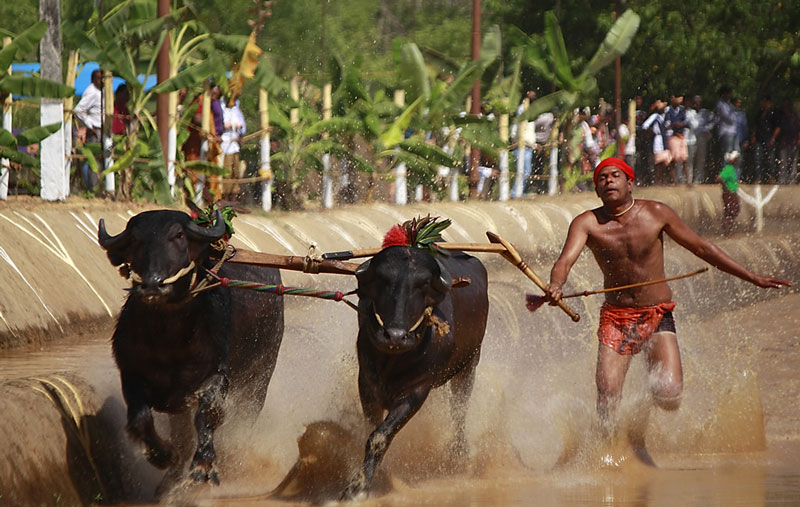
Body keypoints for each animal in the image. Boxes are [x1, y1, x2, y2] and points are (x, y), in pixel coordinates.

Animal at [98, 209, 284, 488]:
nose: (153, 284)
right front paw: (164, 456)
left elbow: (207, 413)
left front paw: (203, 464)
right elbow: (140, 419)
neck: (168, 338)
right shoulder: (130, 373)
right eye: (135, 239)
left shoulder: (217, 374)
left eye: (178, 235)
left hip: (260, 377)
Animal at [342, 247, 488, 500]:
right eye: (382, 279)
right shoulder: (366, 383)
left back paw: (458, 453)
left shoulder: (418, 390)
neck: (393, 359)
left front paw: (357, 487)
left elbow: (380, 436)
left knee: (459, 409)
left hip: (469, 365)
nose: (395, 336)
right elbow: (371, 430)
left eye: (423, 284)